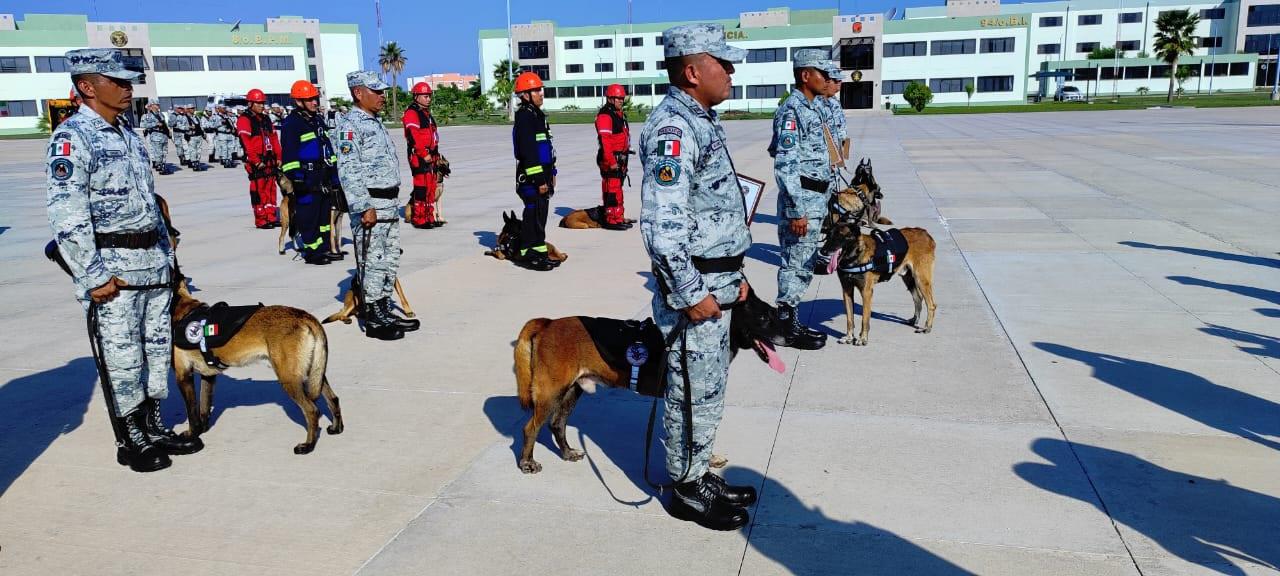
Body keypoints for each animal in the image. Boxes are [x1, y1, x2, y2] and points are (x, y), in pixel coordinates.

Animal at [175, 275, 348, 455]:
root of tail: (305, 316)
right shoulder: (208, 376)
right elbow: (203, 407)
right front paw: (203, 430)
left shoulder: (183, 376)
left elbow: (192, 413)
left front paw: (192, 435)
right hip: (314, 374)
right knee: (333, 398)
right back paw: (336, 428)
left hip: (289, 379)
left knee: (312, 410)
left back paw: (308, 445)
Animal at [514, 286, 783, 473]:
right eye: (763, 318)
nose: (788, 336)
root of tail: (548, 323)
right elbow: (697, 437)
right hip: (551, 392)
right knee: (530, 428)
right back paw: (527, 462)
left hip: (572, 390)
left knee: (557, 424)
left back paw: (567, 452)